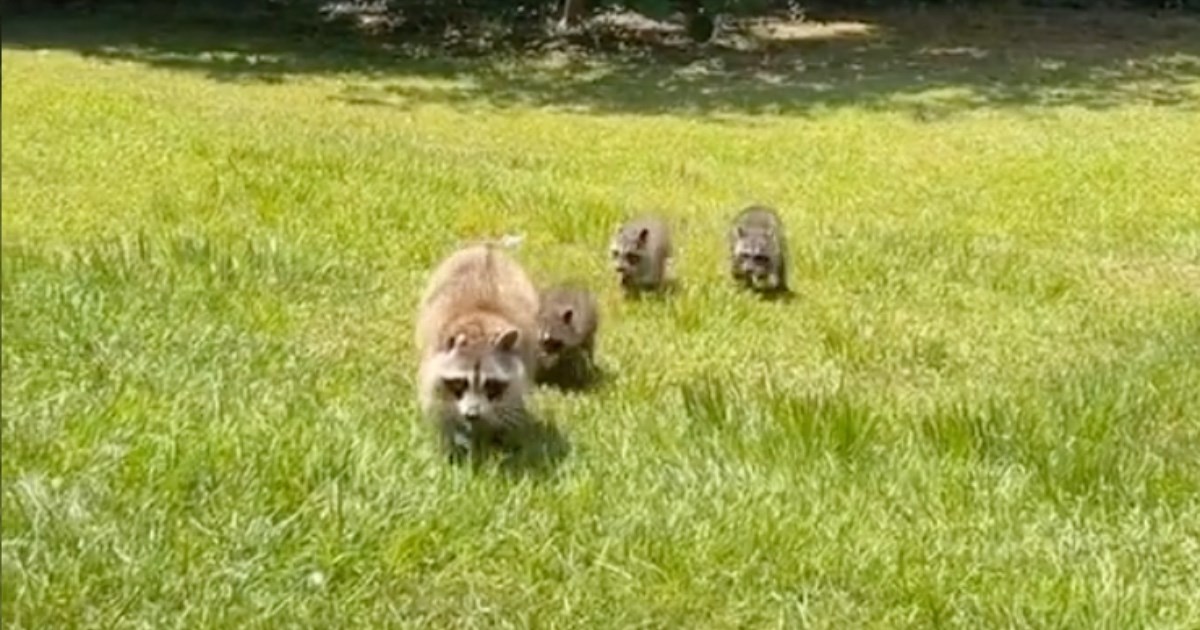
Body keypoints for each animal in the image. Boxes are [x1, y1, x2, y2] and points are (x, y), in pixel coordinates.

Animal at [417, 241, 540, 456]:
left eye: (490, 384)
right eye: (460, 382)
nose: (472, 415)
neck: (479, 335)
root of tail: (486, 247)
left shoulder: (521, 361)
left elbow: (510, 403)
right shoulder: (433, 359)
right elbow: (438, 404)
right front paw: (450, 441)